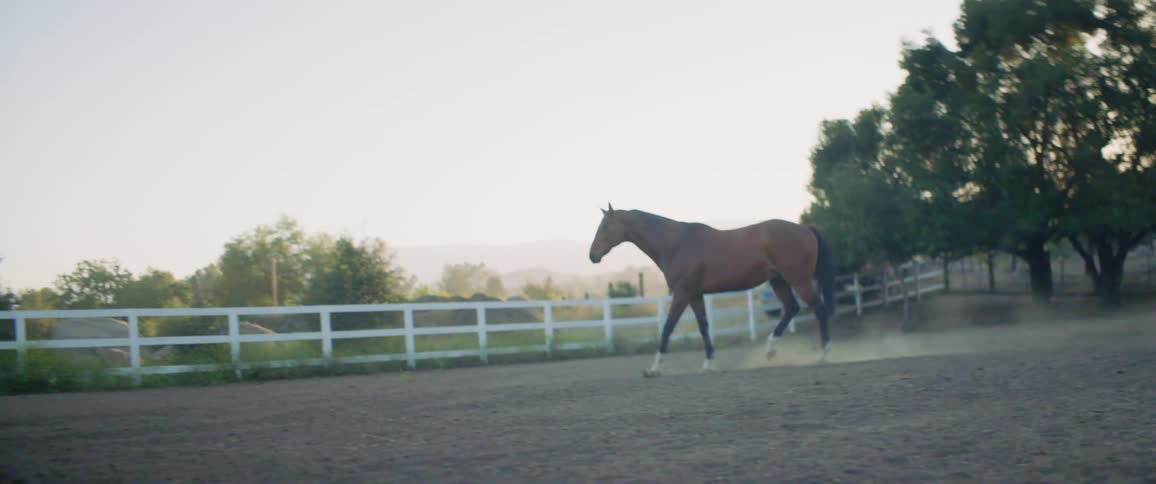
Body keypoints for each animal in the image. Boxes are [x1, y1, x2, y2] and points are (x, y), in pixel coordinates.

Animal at [587, 203, 836, 377]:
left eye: (605, 226)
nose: (592, 255)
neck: (676, 243)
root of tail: (804, 228)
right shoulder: (695, 295)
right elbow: (703, 327)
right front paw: (707, 364)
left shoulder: (682, 293)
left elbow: (668, 327)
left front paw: (654, 369)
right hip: (779, 281)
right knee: (792, 308)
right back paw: (770, 351)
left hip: (799, 280)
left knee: (819, 309)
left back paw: (823, 354)